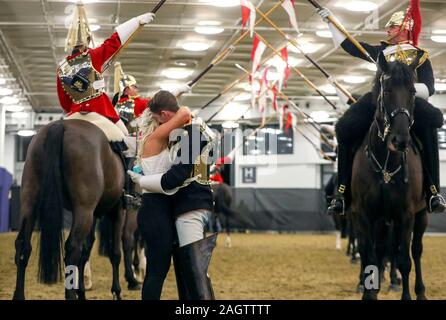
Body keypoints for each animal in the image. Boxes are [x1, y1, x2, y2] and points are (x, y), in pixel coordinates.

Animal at [12, 118, 126, 300]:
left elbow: (86, 250)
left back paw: (19, 295)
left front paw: (82, 291)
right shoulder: (118, 211)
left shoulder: (94, 215)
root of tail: (60, 125)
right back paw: (71, 295)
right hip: (84, 210)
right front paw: (116, 292)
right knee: (72, 249)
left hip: (30, 203)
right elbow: (115, 253)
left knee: (23, 245)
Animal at [352, 52, 428, 300]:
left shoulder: (405, 215)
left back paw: (420, 291)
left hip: (421, 214)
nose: (400, 140)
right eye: (386, 92)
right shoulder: (364, 216)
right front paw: (368, 292)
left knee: (416, 251)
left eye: (413, 92)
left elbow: (404, 260)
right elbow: (369, 256)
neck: (385, 166)